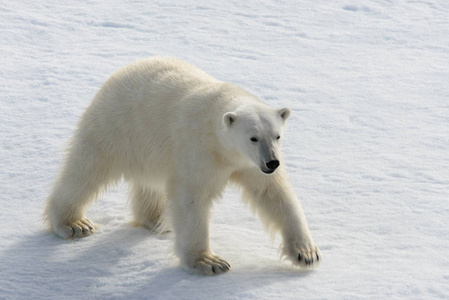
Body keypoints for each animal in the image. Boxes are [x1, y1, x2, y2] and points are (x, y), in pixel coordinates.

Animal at [44, 57, 318, 276]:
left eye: (277, 135)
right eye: (253, 137)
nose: (273, 162)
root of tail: (122, 71)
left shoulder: (250, 165)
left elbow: (274, 194)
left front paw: (306, 253)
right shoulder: (198, 151)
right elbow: (191, 200)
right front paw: (209, 262)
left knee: (149, 183)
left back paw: (157, 220)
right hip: (117, 126)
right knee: (87, 170)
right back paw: (74, 224)